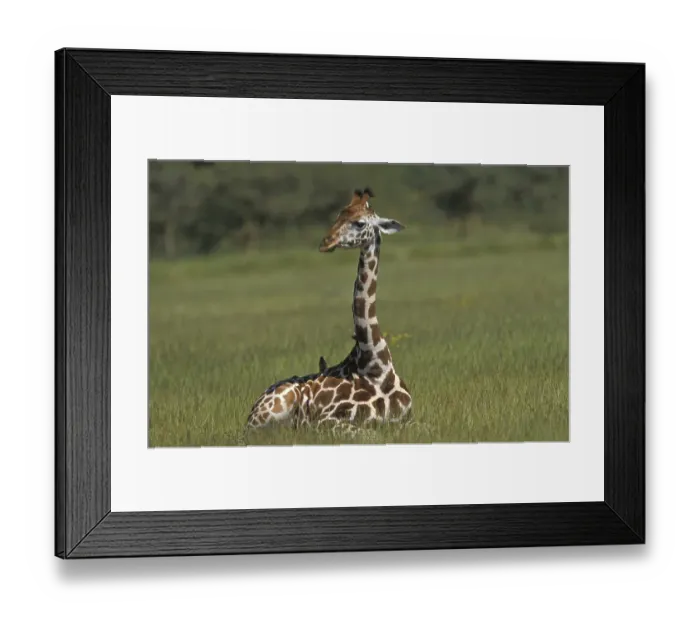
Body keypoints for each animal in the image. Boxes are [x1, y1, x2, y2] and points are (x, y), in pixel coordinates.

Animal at [245, 187, 413, 434]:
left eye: (359, 223)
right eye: (338, 216)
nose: (326, 242)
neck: (375, 366)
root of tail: (251, 411)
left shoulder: (409, 419)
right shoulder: (326, 421)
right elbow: (367, 432)